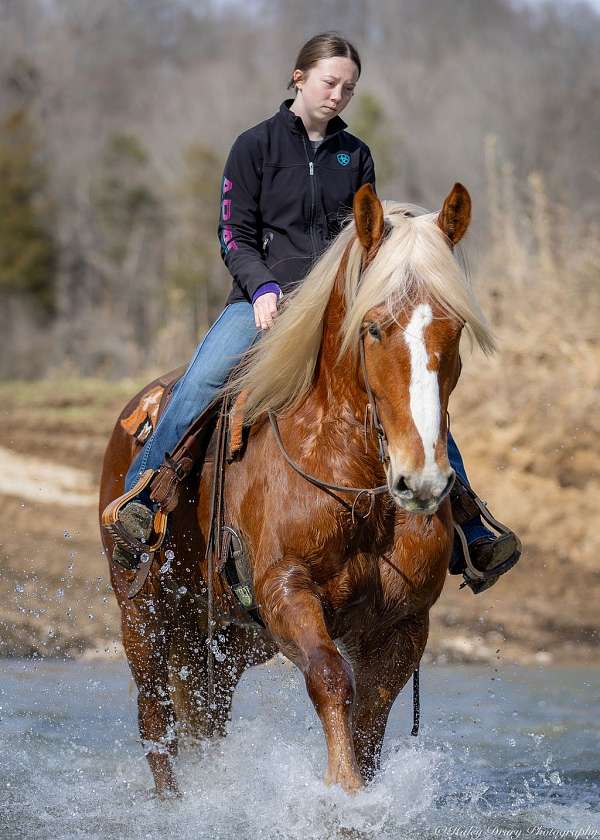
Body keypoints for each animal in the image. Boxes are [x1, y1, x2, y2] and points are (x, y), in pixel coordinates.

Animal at [97, 182, 492, 796]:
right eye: (373, 327)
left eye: (454, 330)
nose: (421, 479)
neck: (354, 482)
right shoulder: (287, 590)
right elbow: (330, 679)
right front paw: (340, 793)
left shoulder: (402, 624)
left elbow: (369, 718)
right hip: (143, 613)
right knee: (155, 718)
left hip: (223, 639)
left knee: (205, 717)